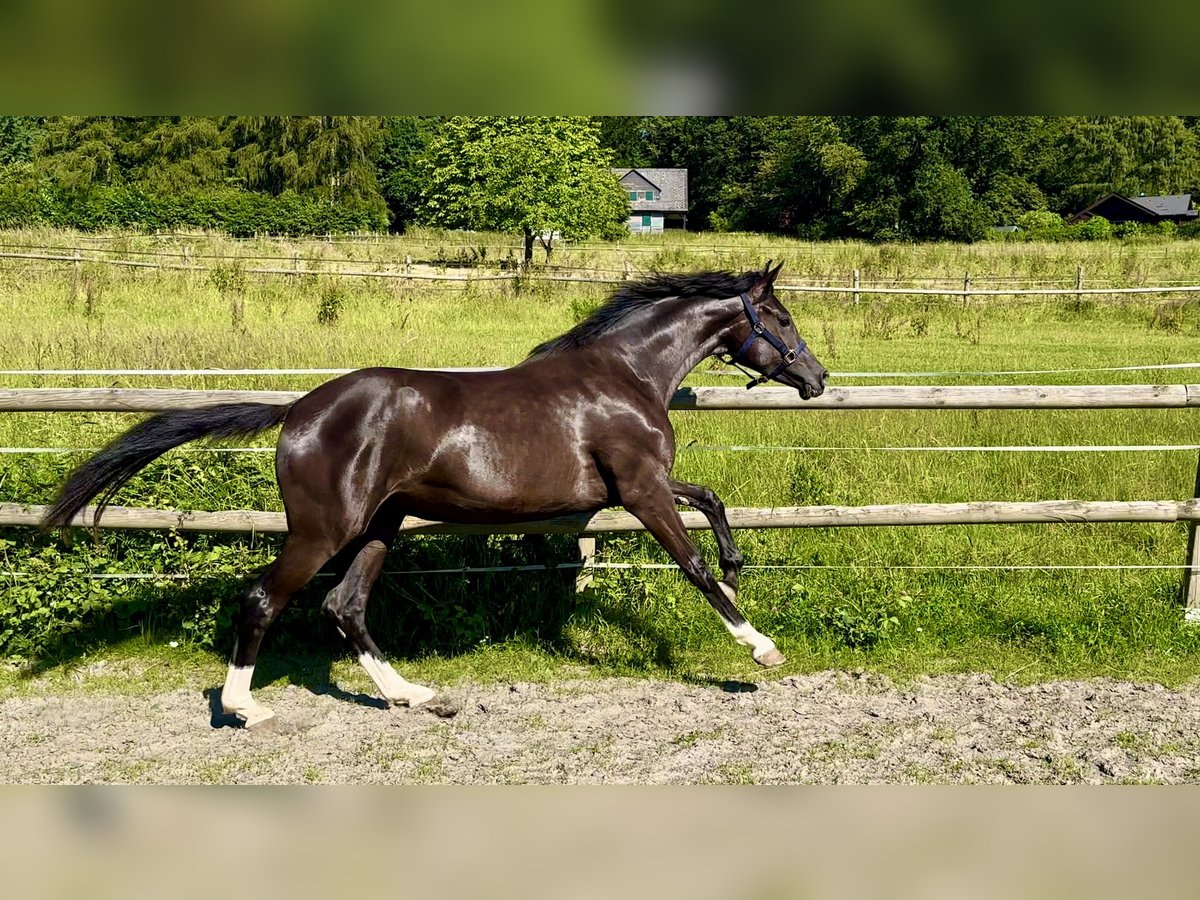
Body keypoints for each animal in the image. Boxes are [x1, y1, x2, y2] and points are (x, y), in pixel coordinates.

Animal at [46, 259, 825, 724]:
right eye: (782, 320)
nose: (816, 379)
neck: (625, 374)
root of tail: (298, 411)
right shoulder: (639, 490)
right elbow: (692, 566)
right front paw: (761, 648)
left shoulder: (640, 485)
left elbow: (714, 501)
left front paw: (737, 562)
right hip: (325, 530)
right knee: (266, 598)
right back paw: (246, 709)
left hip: (380, 527)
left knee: (344, 606)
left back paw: (413, 695)